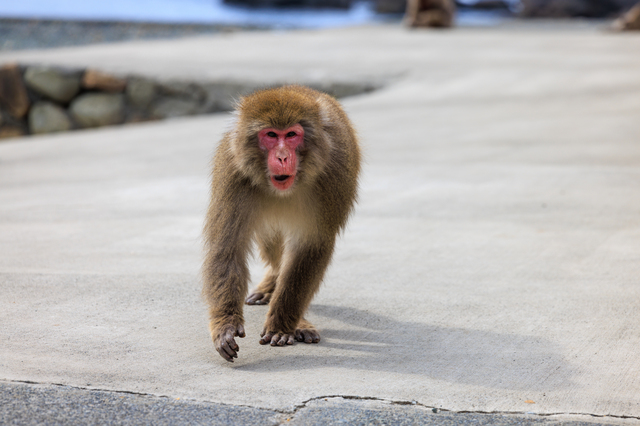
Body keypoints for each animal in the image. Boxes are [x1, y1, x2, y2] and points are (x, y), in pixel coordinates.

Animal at [202, 85, 360, 362]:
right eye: (271, 135)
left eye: (292, 135)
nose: (284, 157)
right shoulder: (234, 172)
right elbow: (227, 247)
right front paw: (225, 325)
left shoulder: (333, 175)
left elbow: (311, 247)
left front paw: (281, 326)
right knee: (270, 241)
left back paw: (298, 322)